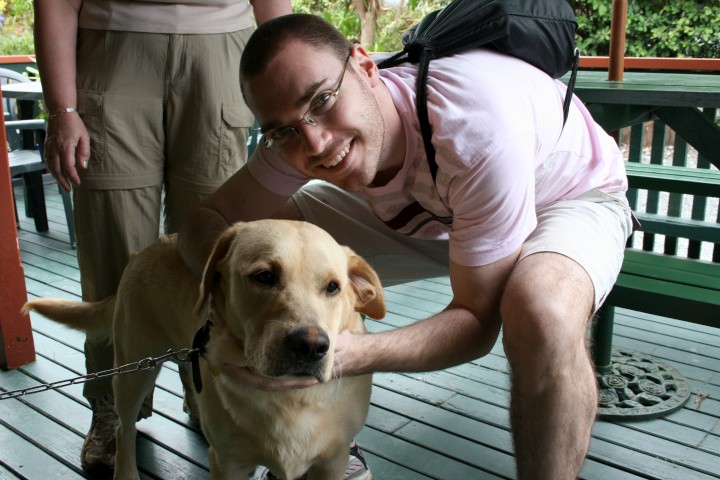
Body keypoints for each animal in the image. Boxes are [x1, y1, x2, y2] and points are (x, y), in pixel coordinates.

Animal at [24, 220, 385, 480]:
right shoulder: (227, 463)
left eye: (333, 287)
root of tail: (147, 248)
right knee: (124, 428)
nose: (311, 346)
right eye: (264, 276)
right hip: (133, 369)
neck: (288, 400)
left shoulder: (332, 461)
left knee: (187, 369)